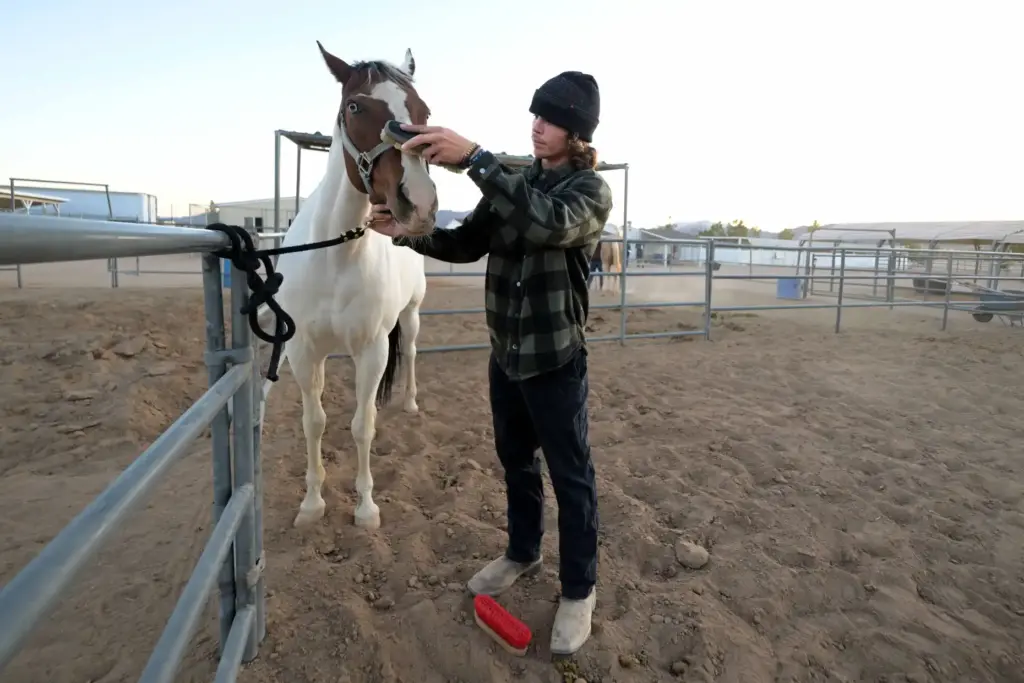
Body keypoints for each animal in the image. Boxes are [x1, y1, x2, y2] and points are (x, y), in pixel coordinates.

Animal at [257, 41, 438, 531]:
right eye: (355, 106)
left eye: (424, 110)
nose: (419, 204)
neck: (336, 256)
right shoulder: (303, 350)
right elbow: (313, 422)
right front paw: (311, 503)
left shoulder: (372, 349)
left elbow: (363, 425)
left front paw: (366, 508)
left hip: (410, 316)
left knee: (411, 352)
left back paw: (410, 403)